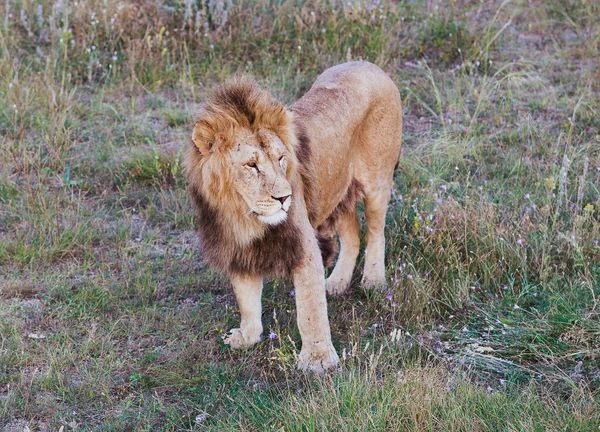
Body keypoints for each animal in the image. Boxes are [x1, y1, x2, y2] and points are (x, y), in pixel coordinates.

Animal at [186, 60, 404, 372]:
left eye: (281, 158)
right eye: (251, 165)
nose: (285, 198)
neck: (243, 217)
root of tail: (370, 65)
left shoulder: (304, 246)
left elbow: (310, 309)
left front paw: (318, 361)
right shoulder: (239, 250)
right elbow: (247, 299)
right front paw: (246, 337)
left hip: (376, 181)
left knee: (375, 231)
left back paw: (373, 280)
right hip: (334, 191)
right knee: (353, 233)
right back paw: (337, 283)